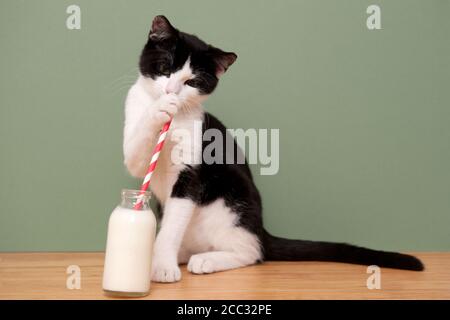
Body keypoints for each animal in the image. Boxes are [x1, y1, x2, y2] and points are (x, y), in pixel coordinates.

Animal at [122, 15, 422, 282]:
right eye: (165, 67)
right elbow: (137, 157)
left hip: (233, 197)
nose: (171, 92)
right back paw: (181, 254)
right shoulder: (137, 144)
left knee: (252, 251)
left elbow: (173, 224)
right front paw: (158, 109)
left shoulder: (192, 168)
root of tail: (262, 228)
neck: (173, 126)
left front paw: (163, 267)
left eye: (192, 82)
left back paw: (207, 259)